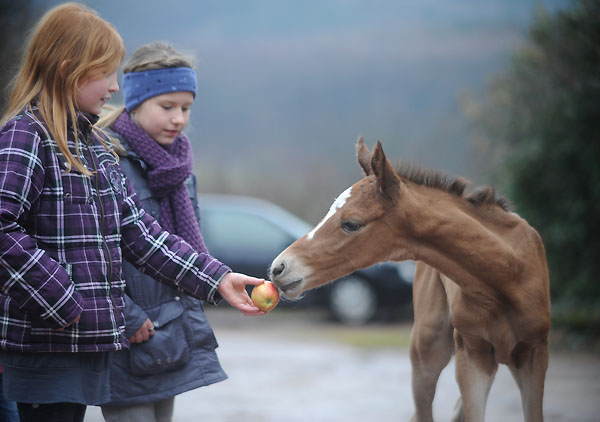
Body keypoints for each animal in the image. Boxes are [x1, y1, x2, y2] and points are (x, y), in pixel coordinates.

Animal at [270, 138, 548, 418]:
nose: (279, 267)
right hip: (426, 351)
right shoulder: (473, 354)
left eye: (351, 224)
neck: (505, 276)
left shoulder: (534, 355)